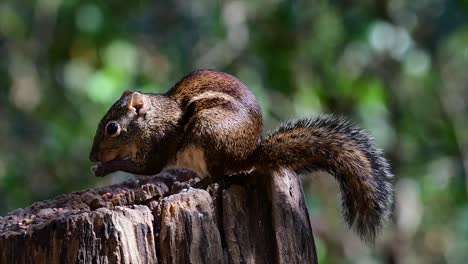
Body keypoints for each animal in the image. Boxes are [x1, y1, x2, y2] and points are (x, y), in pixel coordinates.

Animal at [89, 69, 394, 241]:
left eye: (112, 128)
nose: (92, 157)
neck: (154, 118)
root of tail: (247, 156)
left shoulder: (159, 144)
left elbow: (146, 167)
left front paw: (104, 168)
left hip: (209, 133)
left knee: (220, 176)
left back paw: (198, 184)